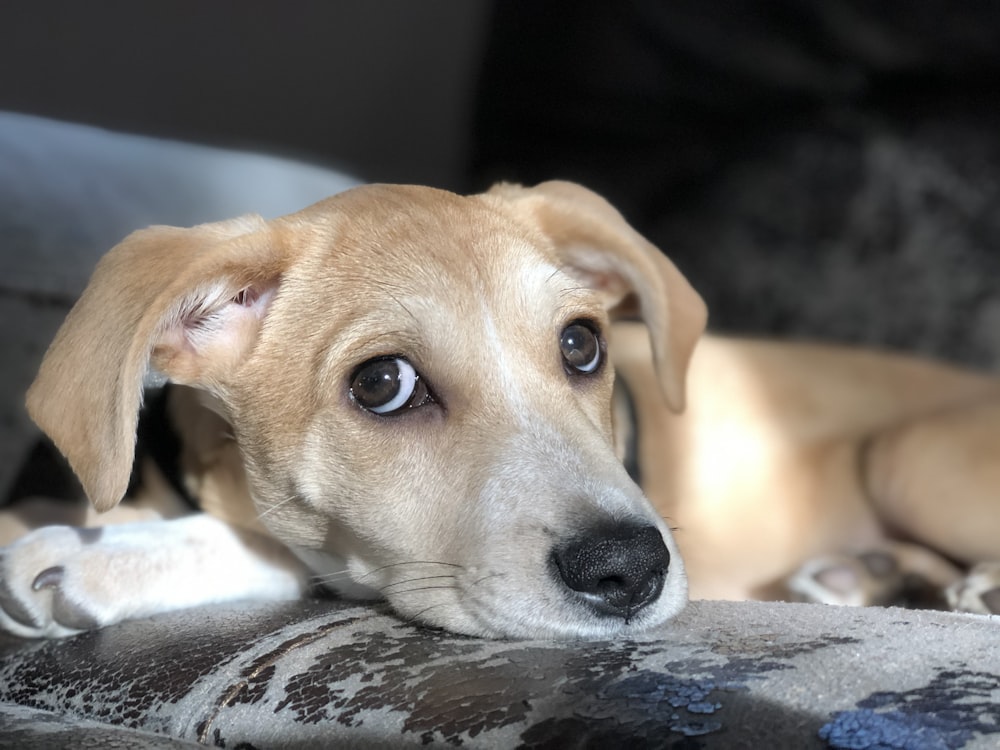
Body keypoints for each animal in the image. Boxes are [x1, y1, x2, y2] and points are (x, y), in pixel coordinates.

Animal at [1, 182, 1000, 640]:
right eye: (381, 385)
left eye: (582, 345)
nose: (630, 572)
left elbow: (282, 548)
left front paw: (109, 556)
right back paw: (873, 578)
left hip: (908, 455)